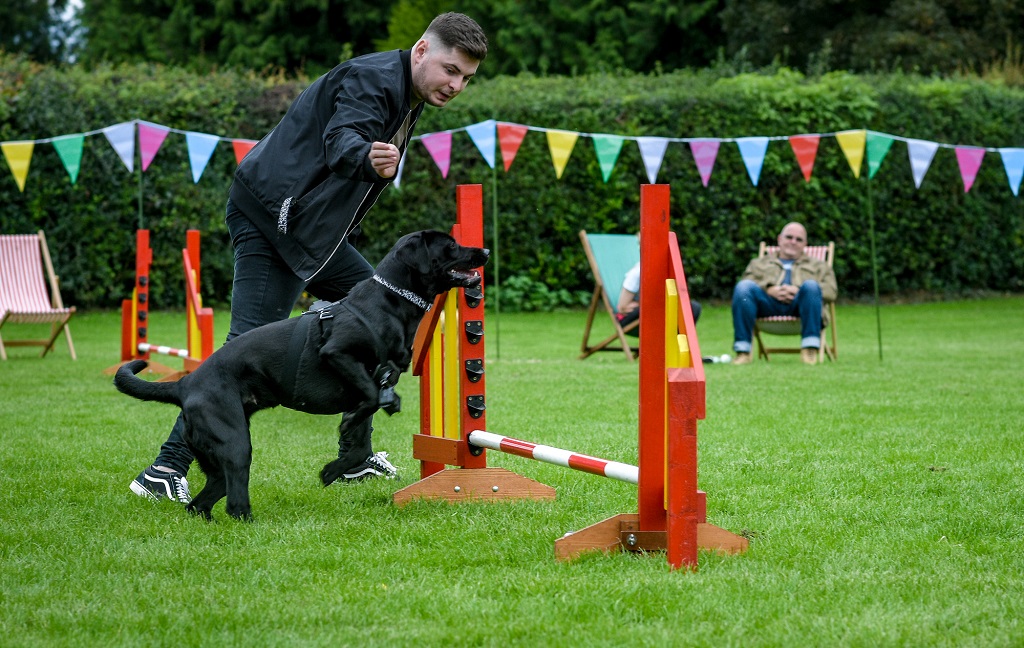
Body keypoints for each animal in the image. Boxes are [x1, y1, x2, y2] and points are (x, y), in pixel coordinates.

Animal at [116, 230, 487, 517]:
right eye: (451, 245)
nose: (483, 251)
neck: (389, 303)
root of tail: (186, 382)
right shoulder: (337, 353)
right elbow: (367, 401)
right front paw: (338, 453)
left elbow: (359, 440)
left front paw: (333, 469)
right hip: (235, 443)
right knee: (234, 501)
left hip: (217, 455)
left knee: (201, 503)